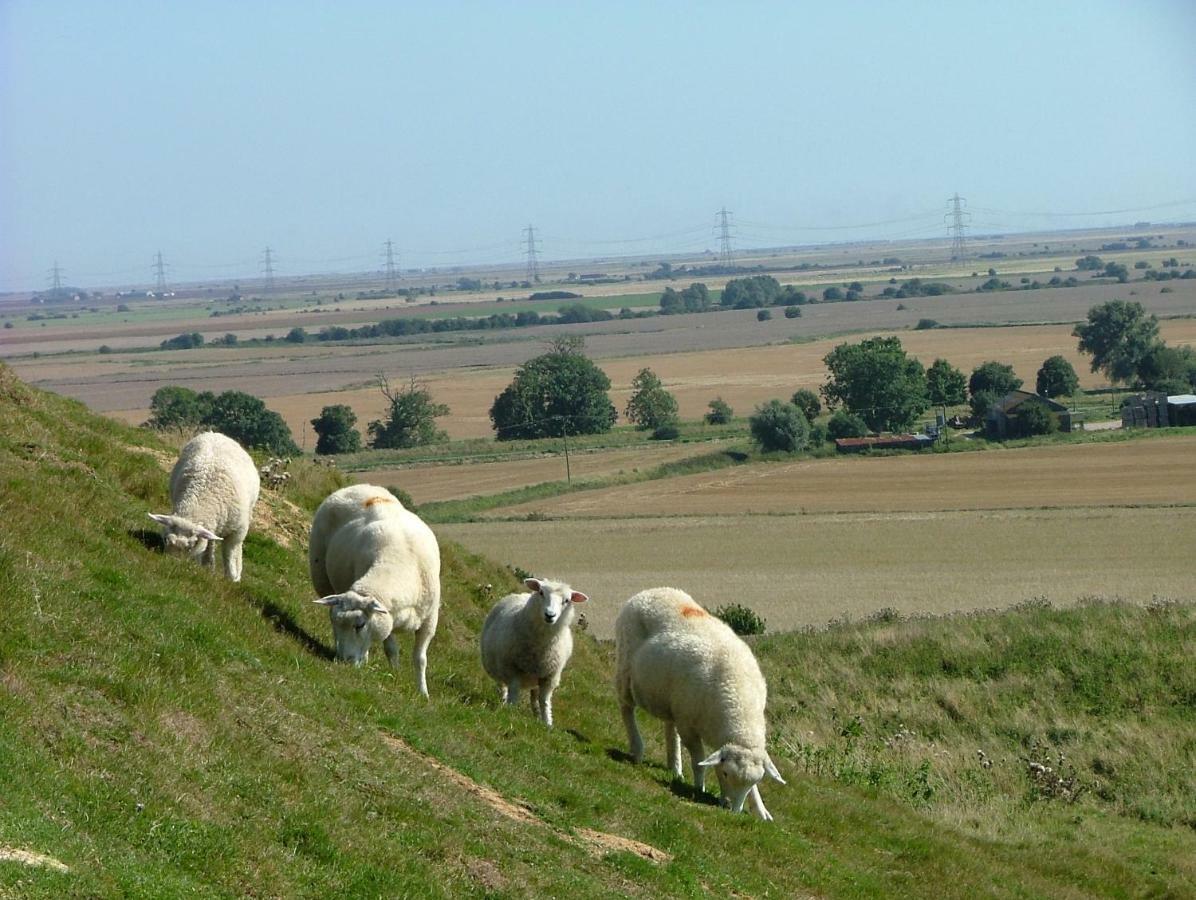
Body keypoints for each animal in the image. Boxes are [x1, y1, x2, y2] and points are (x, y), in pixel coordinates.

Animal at [148, 430, 259, 583]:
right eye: (166, 540)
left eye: (190, 546)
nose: (171, 563)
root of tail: (216, 433)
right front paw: (205, 566)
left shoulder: (237, 531)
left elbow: (231, 553)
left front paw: (233, 577)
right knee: (211, 542)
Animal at [308, 485, 440, 693]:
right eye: (336, 623)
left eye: (360, 625)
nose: (344, 663)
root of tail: (357, 487)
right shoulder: (388, 615)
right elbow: (391, 649)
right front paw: (395, 675)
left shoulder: (429, 621)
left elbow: (420, 659)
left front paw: (422, 693)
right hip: (322, 578)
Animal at [476, 576, 588, 731]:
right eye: (541, 592)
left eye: (567, 600)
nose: (550, 615)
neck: (540, 648)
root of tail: (521, 594)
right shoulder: (513, 670)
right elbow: (514, 692)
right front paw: (510, 712)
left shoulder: (549, 677)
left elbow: (544, 701)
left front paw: (547, 723)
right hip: (498, 667)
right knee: (502, 686)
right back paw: (503, 701)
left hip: (536, 678)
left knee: (535, 698)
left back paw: (536, 715)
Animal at [617, 585, 784, 817]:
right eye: (725, 773)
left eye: (753, 782)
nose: (733, 810)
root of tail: (650, 590)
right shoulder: (689, 726)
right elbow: (698, 761)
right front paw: (699, 788)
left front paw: (760, 810)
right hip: (625, 669)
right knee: (627, 709)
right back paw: (638, 749)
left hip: (673, 698)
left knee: (670, 728)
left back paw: (675, 767)